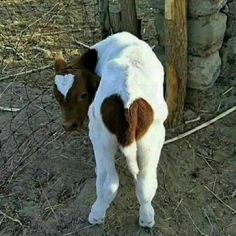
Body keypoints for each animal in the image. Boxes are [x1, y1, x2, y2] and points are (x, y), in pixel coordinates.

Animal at [53, 31, 168, 227]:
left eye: (83, 94)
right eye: (57, 96)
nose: (69, 125)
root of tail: (127, 98)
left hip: (102, 137)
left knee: (109, 182)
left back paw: (96, 214)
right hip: (152, 138)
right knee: (145, 182)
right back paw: (146, 218)